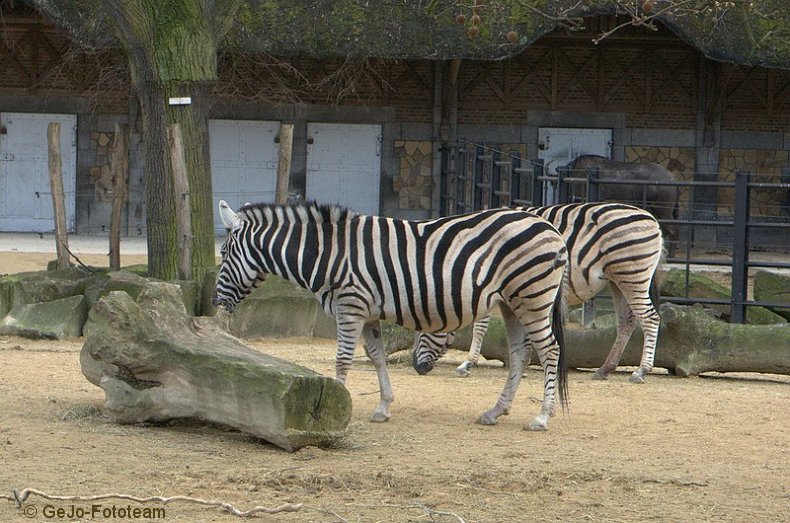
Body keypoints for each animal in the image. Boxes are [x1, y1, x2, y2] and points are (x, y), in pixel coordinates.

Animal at [210, 201, 568, 430]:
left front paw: (336, 408)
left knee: (549, 350)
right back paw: (496, 411)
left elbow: (343, 360)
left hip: (532, 297)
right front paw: (383, 408)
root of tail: (550, 227)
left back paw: (542, 416)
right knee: (520, 353)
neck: (326, 253)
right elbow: (377, 357)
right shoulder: (367, 312)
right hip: (512, 302)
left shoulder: (350, 305)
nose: (215, 300)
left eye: (225, 253)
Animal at [414, 204, 668, 384]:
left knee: (650, 318)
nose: (417, 367)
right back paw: (605, 369)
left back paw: (641, 371)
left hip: (632, 274)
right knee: (627, 321)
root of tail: (652, 220)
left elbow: (481, 326)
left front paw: (468, 364)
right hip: (618, 279)